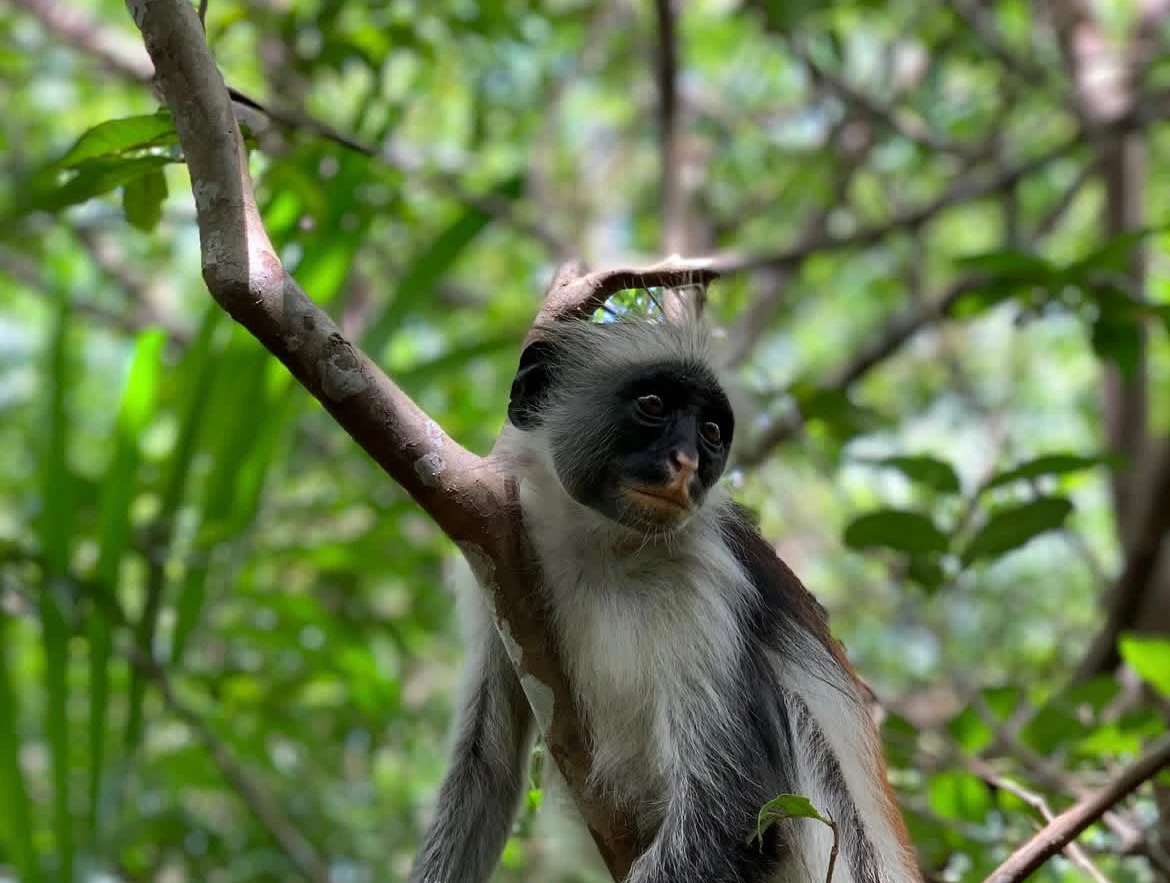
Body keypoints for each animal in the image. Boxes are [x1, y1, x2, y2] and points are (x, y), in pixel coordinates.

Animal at [408, 314, 923, 883]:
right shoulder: (497, 553)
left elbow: (733, 809)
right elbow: (485, 772)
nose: (688, 463)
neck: (602, 545)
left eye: (711, 432)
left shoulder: (705, 579)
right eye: (653, 405)